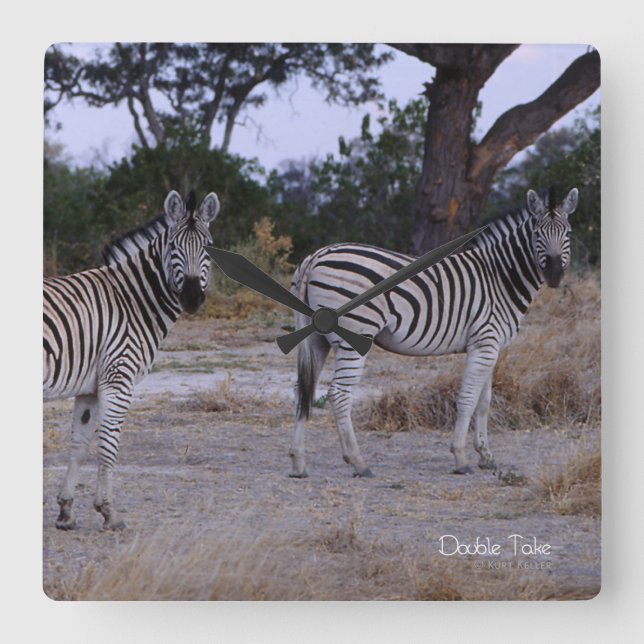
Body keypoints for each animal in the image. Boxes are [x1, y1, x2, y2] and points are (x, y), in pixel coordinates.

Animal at [43, 190, 220, 530]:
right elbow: (108, 446)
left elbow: (79, 446)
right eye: (173, 247)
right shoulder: (119, 378)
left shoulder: (89, 387)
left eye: (207, 247)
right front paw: (108, 512)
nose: (192, 298)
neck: (133, 301)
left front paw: (66, 511)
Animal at [289, 187, 578, 478]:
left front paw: (486, 456)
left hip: (315, 338)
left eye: (567, 234)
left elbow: (484, 402)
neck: (500, 277)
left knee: (304, 390)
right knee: (339, 394)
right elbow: (468, 400)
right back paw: (358, 462)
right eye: (537, 234)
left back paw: (298, 463)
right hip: (355, 336)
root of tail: (315, 257)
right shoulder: (484, 343)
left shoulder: (491, 346)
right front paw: (460, 457)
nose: (555, 275)